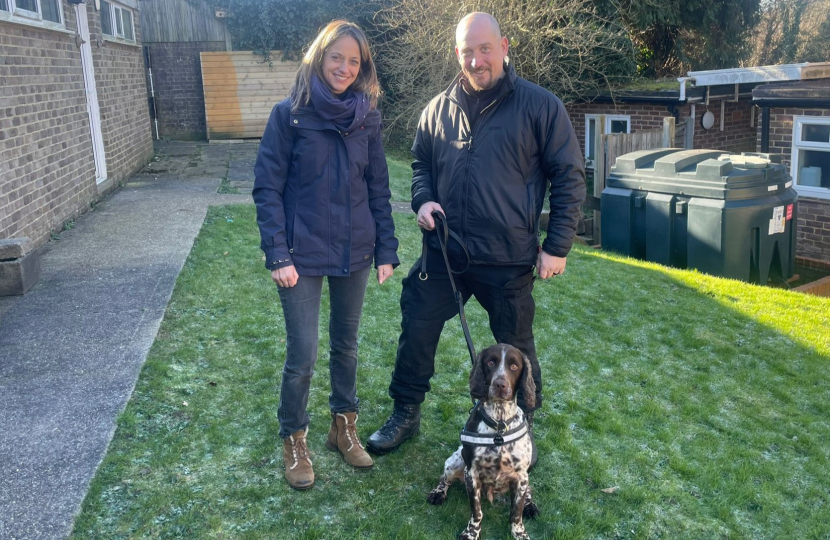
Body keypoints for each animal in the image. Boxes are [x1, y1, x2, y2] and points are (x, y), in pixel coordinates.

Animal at [428, 344, 540, 536]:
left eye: (514, 366)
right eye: (490, 363)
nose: (500, 384)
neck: (499, 424)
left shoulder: (520, 475)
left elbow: (516, 513)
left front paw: (519, 533)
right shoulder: (471, 473)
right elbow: (477, 511)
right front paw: (471, 533)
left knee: (528, 490)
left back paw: (530, 504)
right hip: (455, 461)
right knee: (445, 477)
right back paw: (438, 492)